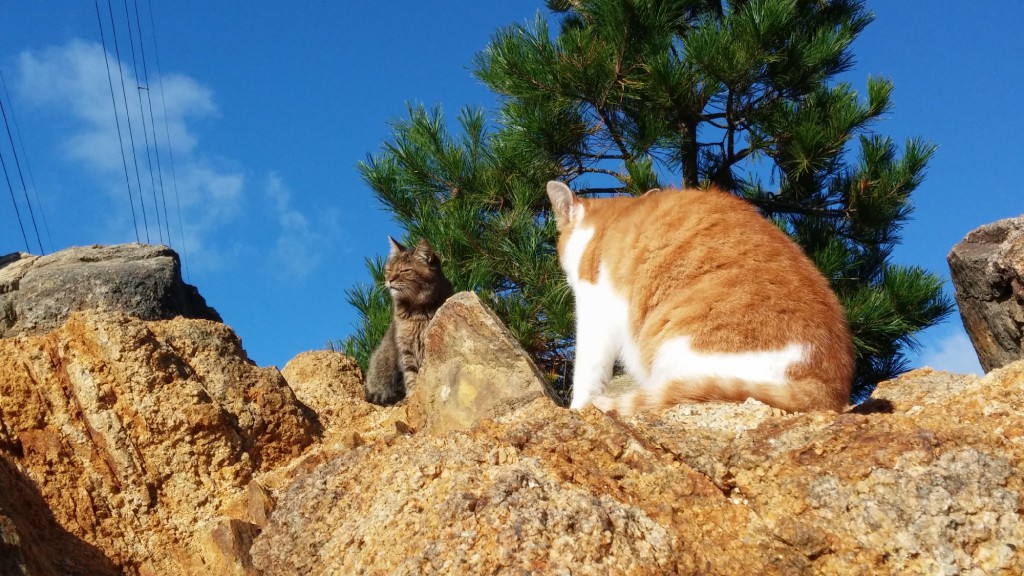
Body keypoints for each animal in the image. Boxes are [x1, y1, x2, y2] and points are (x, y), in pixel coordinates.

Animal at [364, 236, 452, 403]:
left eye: (405, 270)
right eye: (389, 270)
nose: (389, 280)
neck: (416, 309)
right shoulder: (405, 348)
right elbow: (410, 374)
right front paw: (412, 394)